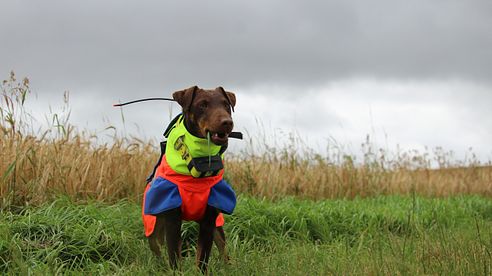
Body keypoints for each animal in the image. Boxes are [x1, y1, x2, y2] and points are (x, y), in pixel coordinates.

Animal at [143, 87, 237, 272]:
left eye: (226, 105)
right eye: (202, 105)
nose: (227, 122)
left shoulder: (209, 219)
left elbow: (202, 258)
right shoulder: (172, 218)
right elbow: (174, 258)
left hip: (217, 226)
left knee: (223, 248)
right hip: (154, 224)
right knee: (157, 246)